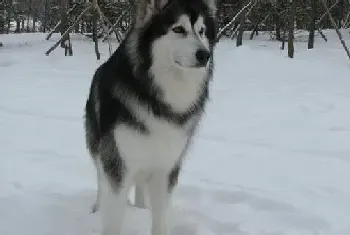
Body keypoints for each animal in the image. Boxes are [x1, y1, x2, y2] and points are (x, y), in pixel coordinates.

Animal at [84, 0, 216, 233]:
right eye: (178, 29)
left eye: (202, 31)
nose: (204, 55)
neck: (159, 98)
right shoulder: (118, 162)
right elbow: (114, 214)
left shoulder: (167, 166)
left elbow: (160, 217)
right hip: (99, 146)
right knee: (101, 179)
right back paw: (98, 208)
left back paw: (141, 208)